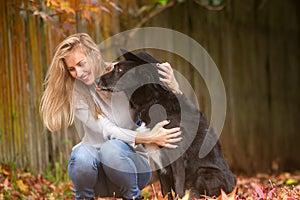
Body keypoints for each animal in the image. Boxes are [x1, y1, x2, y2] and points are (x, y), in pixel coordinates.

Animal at [97, 49, 236, 198]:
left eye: (119, 70)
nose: (97, 80)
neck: (150, 102)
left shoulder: (176, 153)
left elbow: (179, 189)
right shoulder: (158, 161)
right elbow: (165, 191)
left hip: (205, 172)